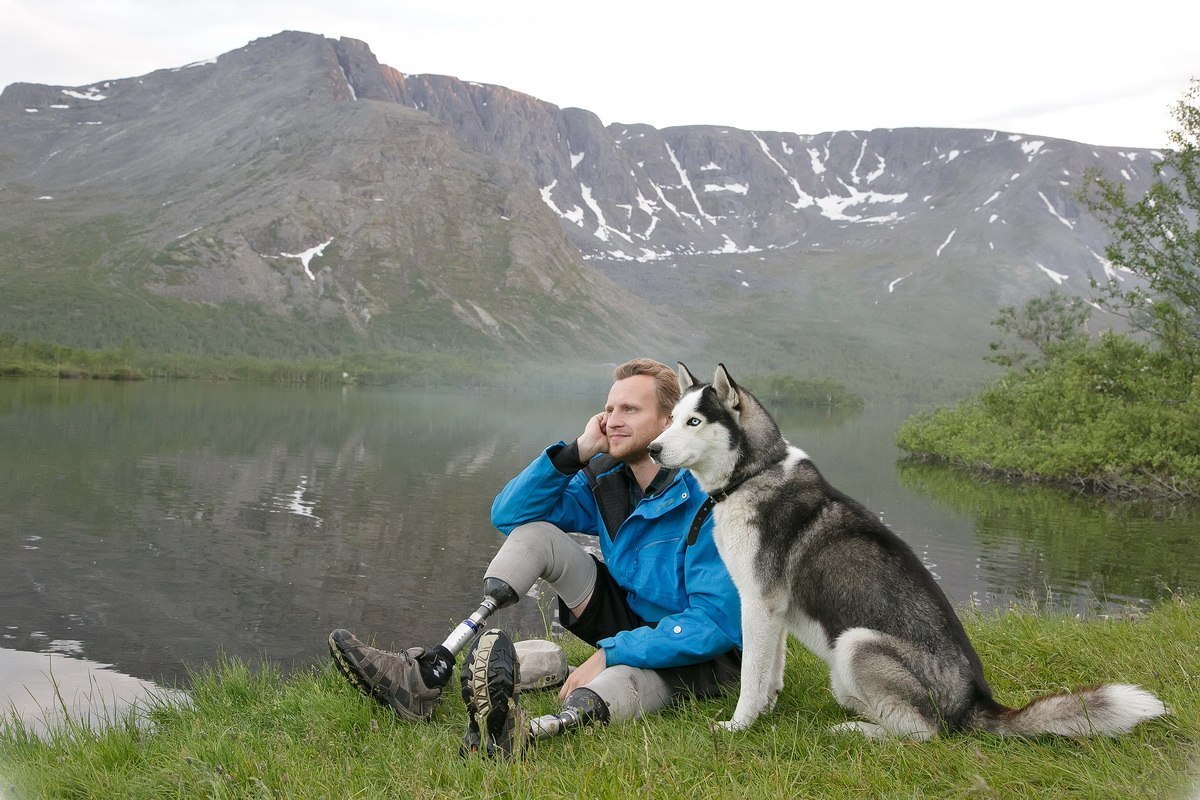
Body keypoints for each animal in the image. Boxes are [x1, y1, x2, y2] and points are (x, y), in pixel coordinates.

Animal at [652, 367, 1166, 743]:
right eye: (671, 418)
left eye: (694, 422)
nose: (653, 449)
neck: (751, 475)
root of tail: (975, 705)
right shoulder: (769, 609)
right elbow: (768, 674)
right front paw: (766, 711)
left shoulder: (760, 602)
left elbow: (750, 680)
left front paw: (737, 726)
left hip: (857, 642)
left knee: (925, 734)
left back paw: (856, 731)